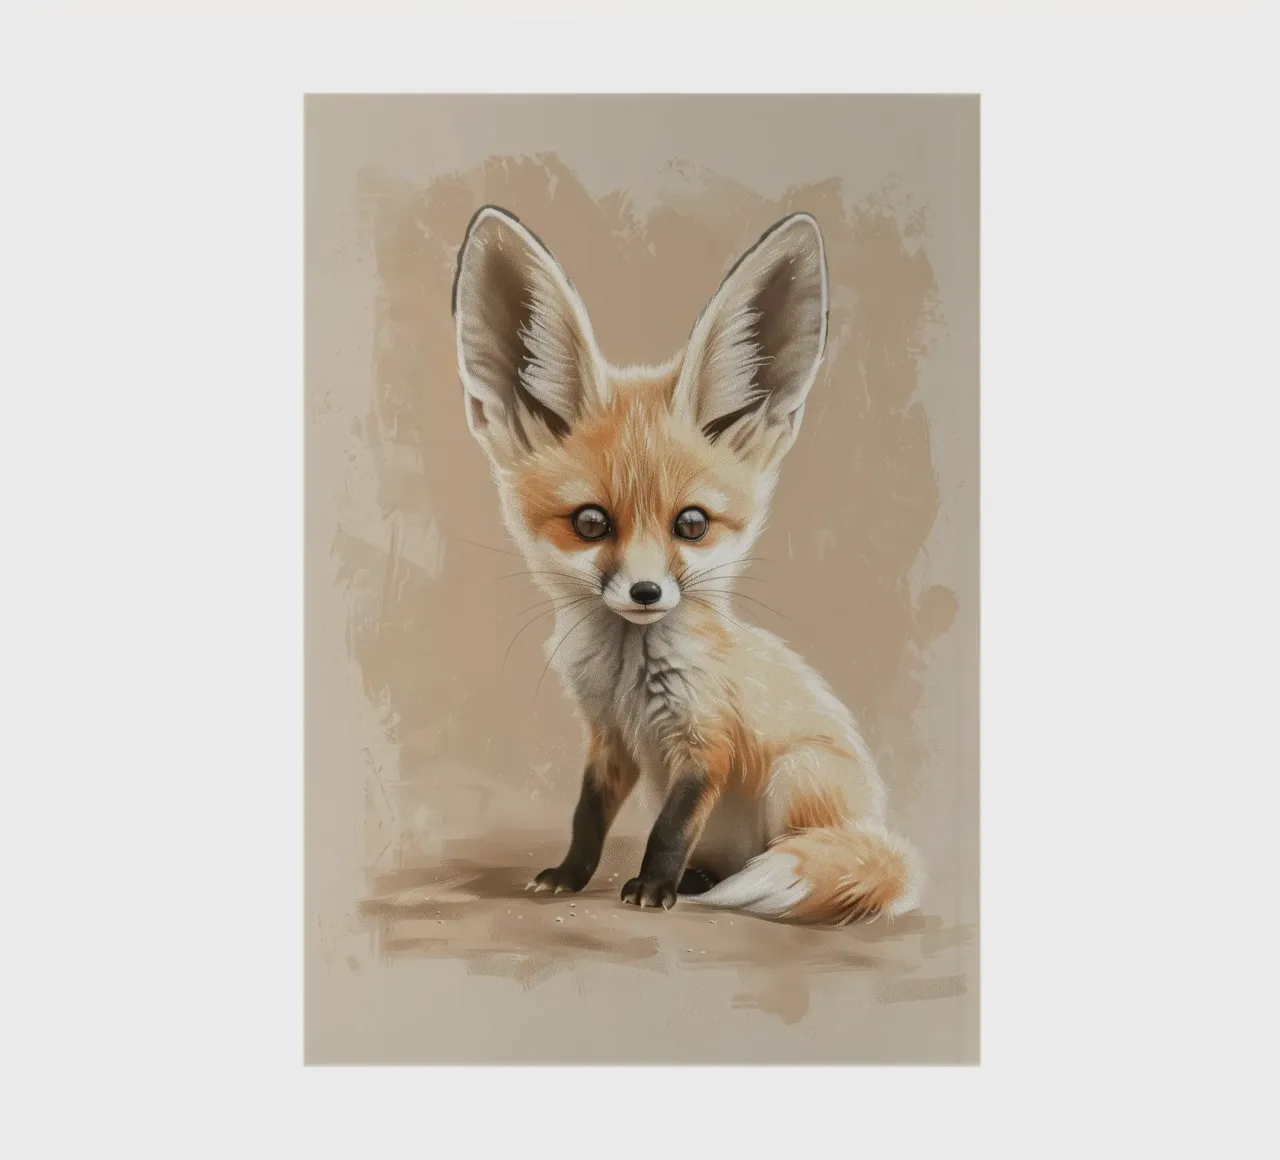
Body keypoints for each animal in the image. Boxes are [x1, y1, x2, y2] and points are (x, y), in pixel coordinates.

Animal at [450, 204, 924, 926]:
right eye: (591, 523)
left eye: (691, 524)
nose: (647, 591)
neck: (628, 676)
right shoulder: (610, 741)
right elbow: (587, 816)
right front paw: (570, 875)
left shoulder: (707, 743)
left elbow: (671, 829)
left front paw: (652, 887)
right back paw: (704, 879)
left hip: (795, 778)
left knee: (804, 851)